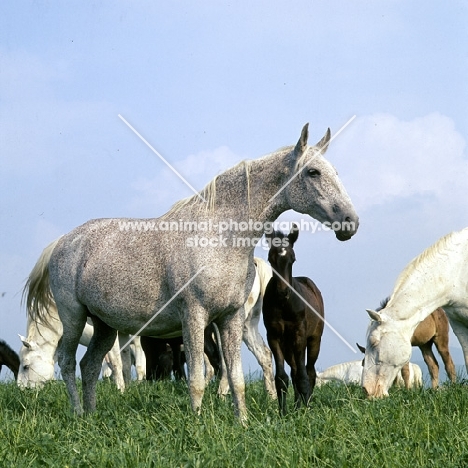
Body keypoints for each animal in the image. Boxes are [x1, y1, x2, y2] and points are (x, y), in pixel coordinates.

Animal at [264, 225, 326, 414]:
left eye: (293, 259)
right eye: (270, 258)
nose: (283, 292)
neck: (285, 305)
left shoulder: (299, 335)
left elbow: (302, 376)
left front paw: (304, 412)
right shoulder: (274, 336)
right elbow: (282, 377)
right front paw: (283, 413)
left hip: (314, 339)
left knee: (309, 371)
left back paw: (304, 404)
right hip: (287, 345)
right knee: (294, 371)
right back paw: (297, 406)